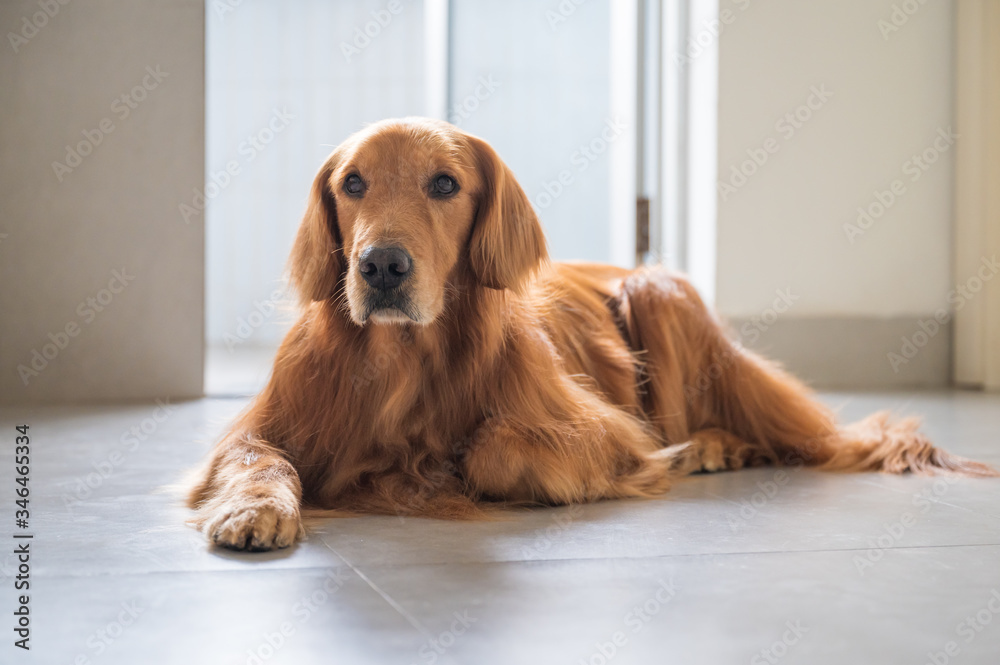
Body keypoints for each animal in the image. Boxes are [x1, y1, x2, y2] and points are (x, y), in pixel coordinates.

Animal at [186, 118, 992, 548]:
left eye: (444, 183)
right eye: (351, 183)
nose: (381, 265)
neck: (401, 360)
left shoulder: (610, 433)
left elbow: (494, 447)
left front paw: (449, 470)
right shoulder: (256, 427)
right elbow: (257, 458)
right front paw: (255, 508)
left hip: (659, 291)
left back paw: (715, 446)